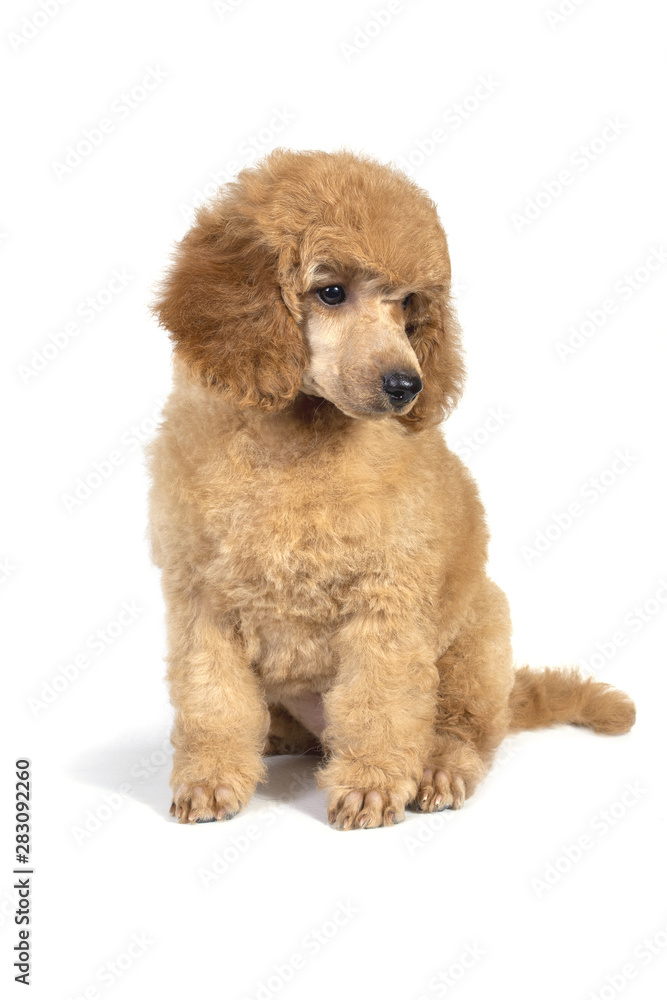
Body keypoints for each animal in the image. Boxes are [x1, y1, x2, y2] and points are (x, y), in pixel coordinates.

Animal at [147, 148, 636, 828]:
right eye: (330, 292)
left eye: (406, 304)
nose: (408, 385)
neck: (297, 442)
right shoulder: (202, 601)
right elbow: (212, 699)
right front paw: (211, 778)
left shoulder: (388, 598)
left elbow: (380, 701)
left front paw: (372, 785)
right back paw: (277, 740)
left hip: (478, 638)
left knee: (464, 730)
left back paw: (437, 772)